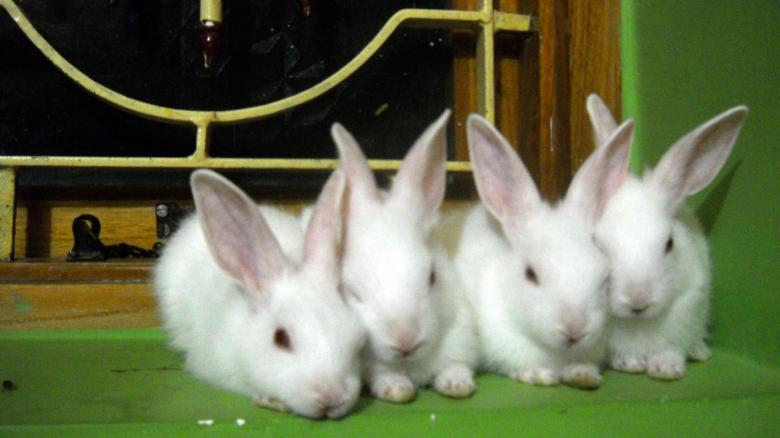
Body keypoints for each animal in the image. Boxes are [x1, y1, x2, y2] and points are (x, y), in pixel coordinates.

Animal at [330, 110, 479, 403]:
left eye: (432, 277)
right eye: (353, 292)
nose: (404, 340)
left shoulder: (461, 338)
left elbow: (457, 366)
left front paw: (456, 385)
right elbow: (384, 376)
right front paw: (397, 390)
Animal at [585, 94, 749, 380]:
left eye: (669, 244)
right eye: (598, 245)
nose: (637, 300)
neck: (639, 323)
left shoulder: (689, 305)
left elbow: (671, 349)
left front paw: (666, 370)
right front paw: (629, 364)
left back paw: (699, 351)